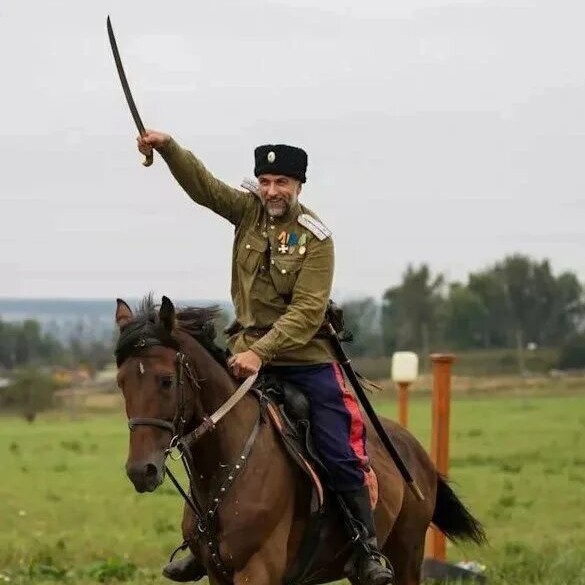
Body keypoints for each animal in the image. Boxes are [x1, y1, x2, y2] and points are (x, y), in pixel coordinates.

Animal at [113, 296, 484, 584]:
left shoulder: (258, 570)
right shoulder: (218, 573)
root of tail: (416, 450)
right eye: (121, 382)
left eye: (165, 380)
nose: (141, 471)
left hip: (407, 558)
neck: (227, 467)